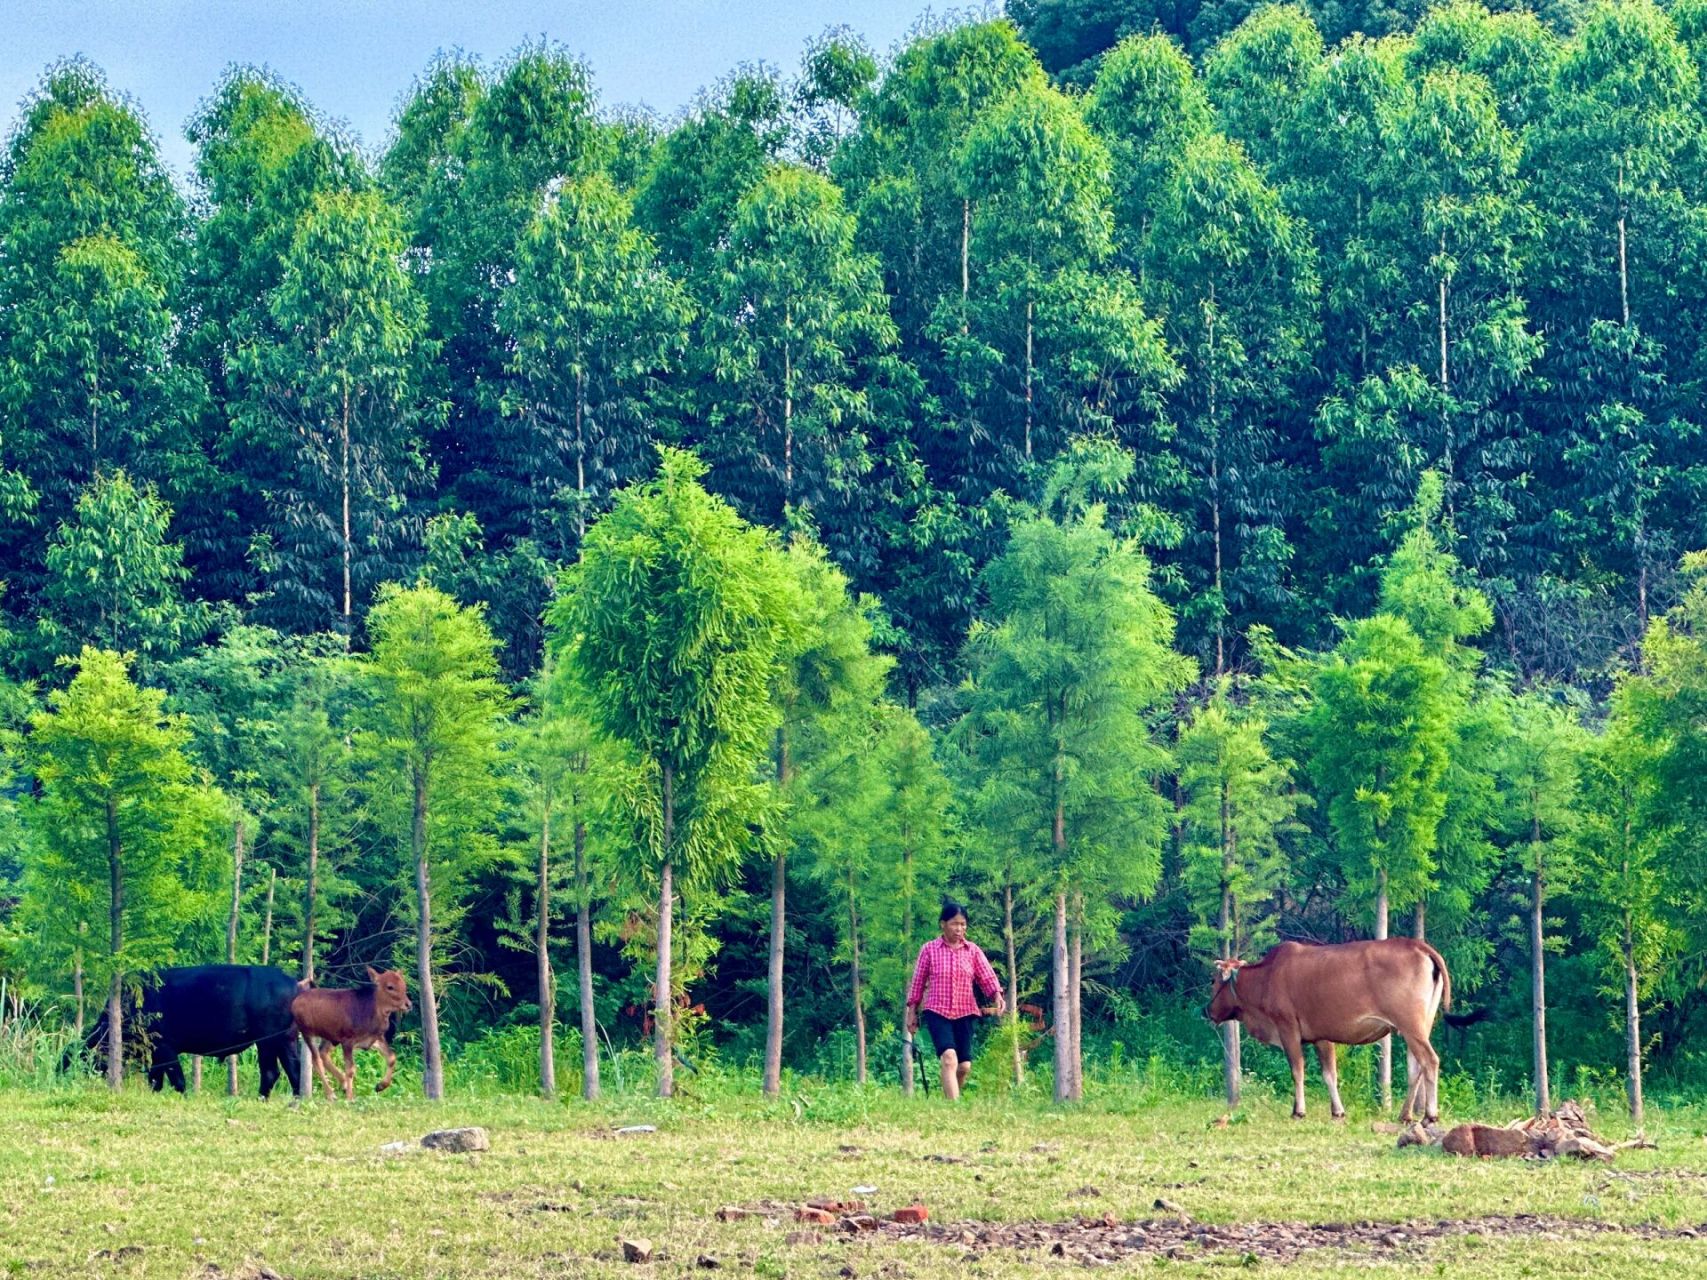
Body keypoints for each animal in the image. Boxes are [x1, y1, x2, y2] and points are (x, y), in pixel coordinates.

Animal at [73, 969, 302, 1099]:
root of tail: (294, 984)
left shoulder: (166, 1051)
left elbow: (177, 1080)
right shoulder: (157, 1055)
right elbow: (156, 1081)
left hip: (267, 1042)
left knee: (271, 1072)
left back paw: (261, 1098)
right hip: (285, 1041)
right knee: (293, 1070)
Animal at [291, 969, 411, 1105]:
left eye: (404, 985)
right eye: (390, 986)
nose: (408, 1004)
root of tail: (296, 1000)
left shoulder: (374, 1039)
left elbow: (392, 1057)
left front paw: (380, 1086)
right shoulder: (347, 1040)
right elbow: (350, 1069)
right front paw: (350, 1097)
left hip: (330, 1037)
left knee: (323, 1054)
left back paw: (342, 1084)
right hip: (307, 1032)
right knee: (316, 1060)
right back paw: (331, 1094)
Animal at [1208, 935, 1447, 1126]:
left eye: (1214, 980)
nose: (1207, 1010)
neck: (1265, 977)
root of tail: (1416, 944)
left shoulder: (1287, 1029)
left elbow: (1297, 1071)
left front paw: (1299, 1111)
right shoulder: (1321, 1037)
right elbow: (1329, 1074)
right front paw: (1337, 1111)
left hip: (1411, 1025)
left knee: (1430, 1061)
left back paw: (1430, 1115)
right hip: (1419, 1027)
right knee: (1415, 1068)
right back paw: (1405, 1114)